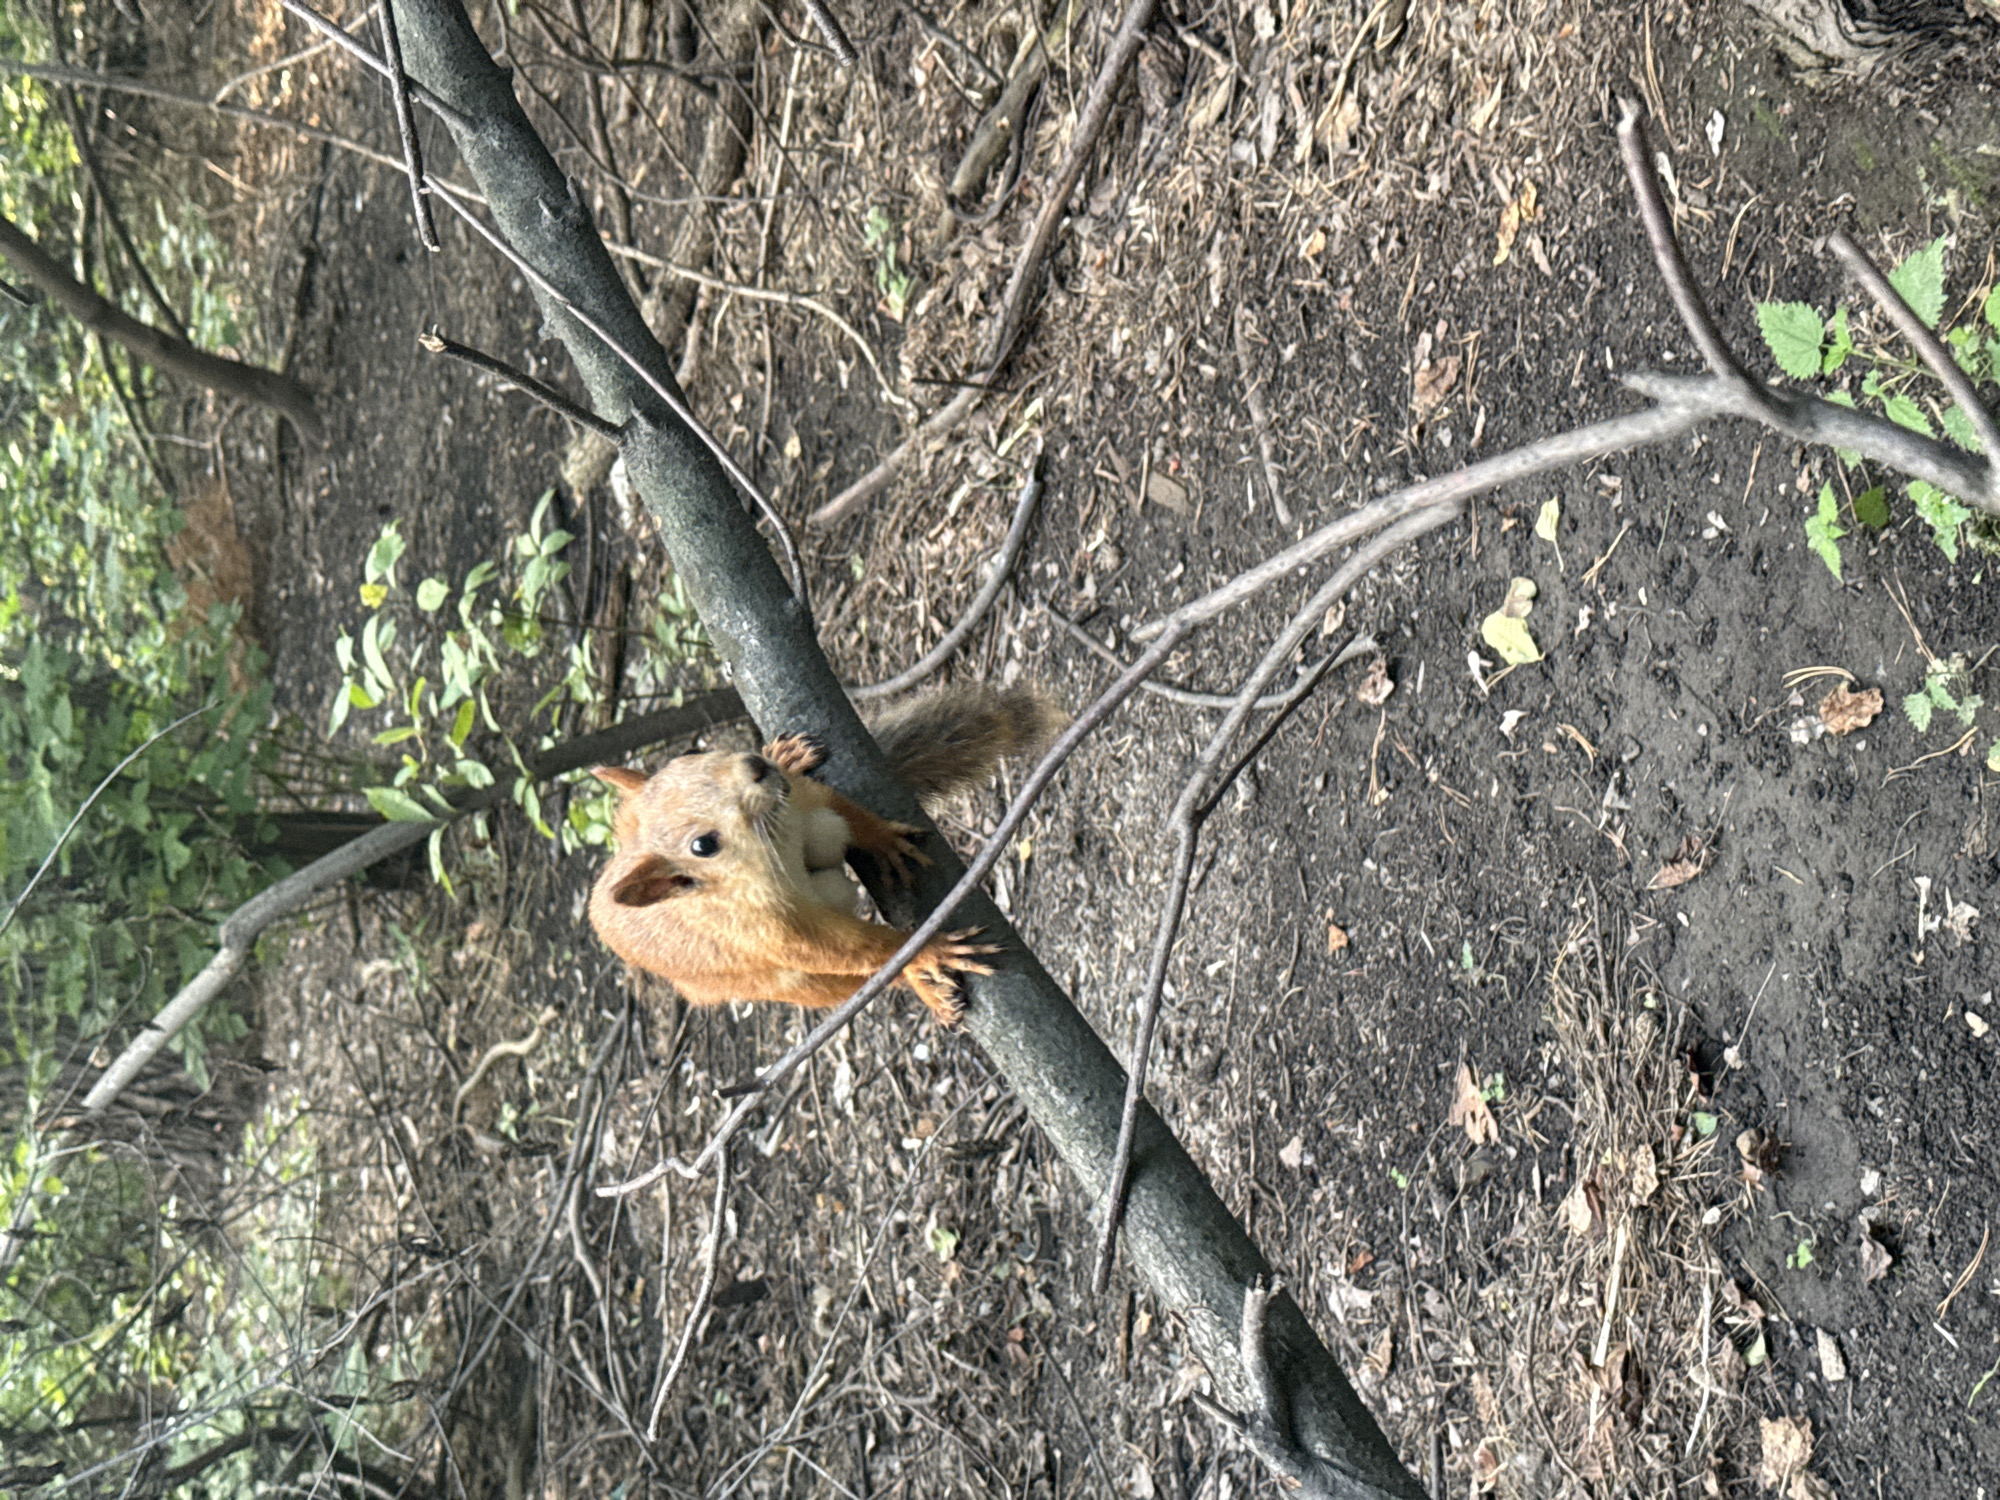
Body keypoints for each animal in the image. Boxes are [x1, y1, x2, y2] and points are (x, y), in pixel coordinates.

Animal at [588, 684, 1064, 1026]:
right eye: (703, 845)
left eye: (689, 754)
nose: (756, 767)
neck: (776, 840)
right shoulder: (772, 932)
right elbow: (850, 950)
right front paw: (929, 952)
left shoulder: (803, 797)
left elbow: (846, 811)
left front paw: (884, 843)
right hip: (784, 984)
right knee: (860, 979)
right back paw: (920, 985)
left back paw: (786, 755)